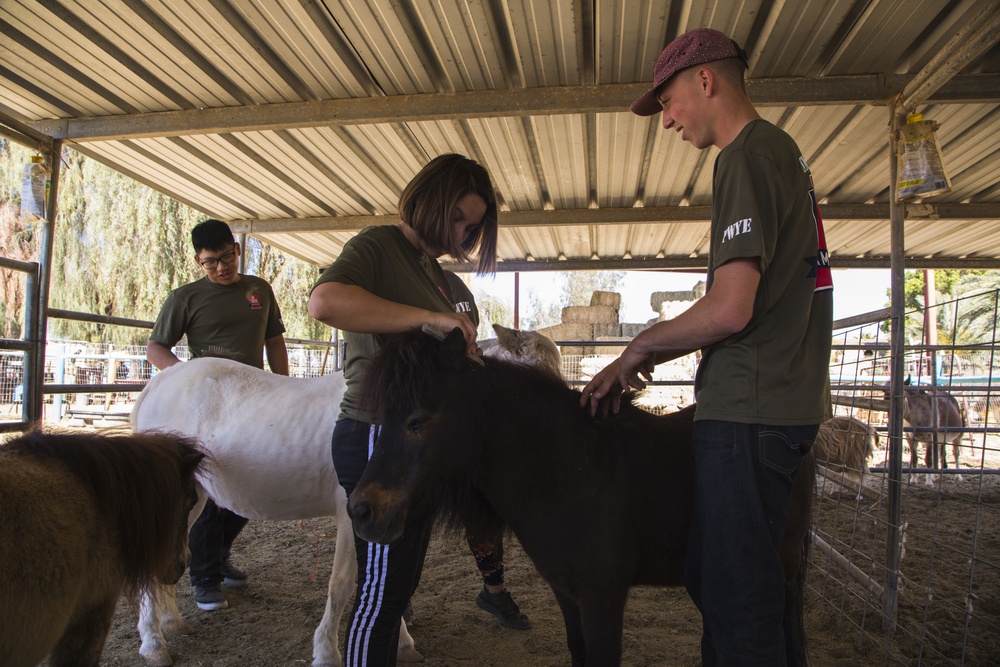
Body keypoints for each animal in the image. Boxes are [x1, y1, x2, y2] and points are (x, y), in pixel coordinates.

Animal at [129, 324, 560, 667]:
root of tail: (157, 383)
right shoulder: (352, 512)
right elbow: (342, 584)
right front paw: (326, 652)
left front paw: (403, 643)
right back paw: (154, 645)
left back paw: (170, 623)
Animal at [348, 328, 816, 667]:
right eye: (381, 416)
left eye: (417, 420)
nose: (362, 510)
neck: (569, 468)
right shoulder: (567, 593)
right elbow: (579, 650)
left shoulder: (602, 595)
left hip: (781, 567)